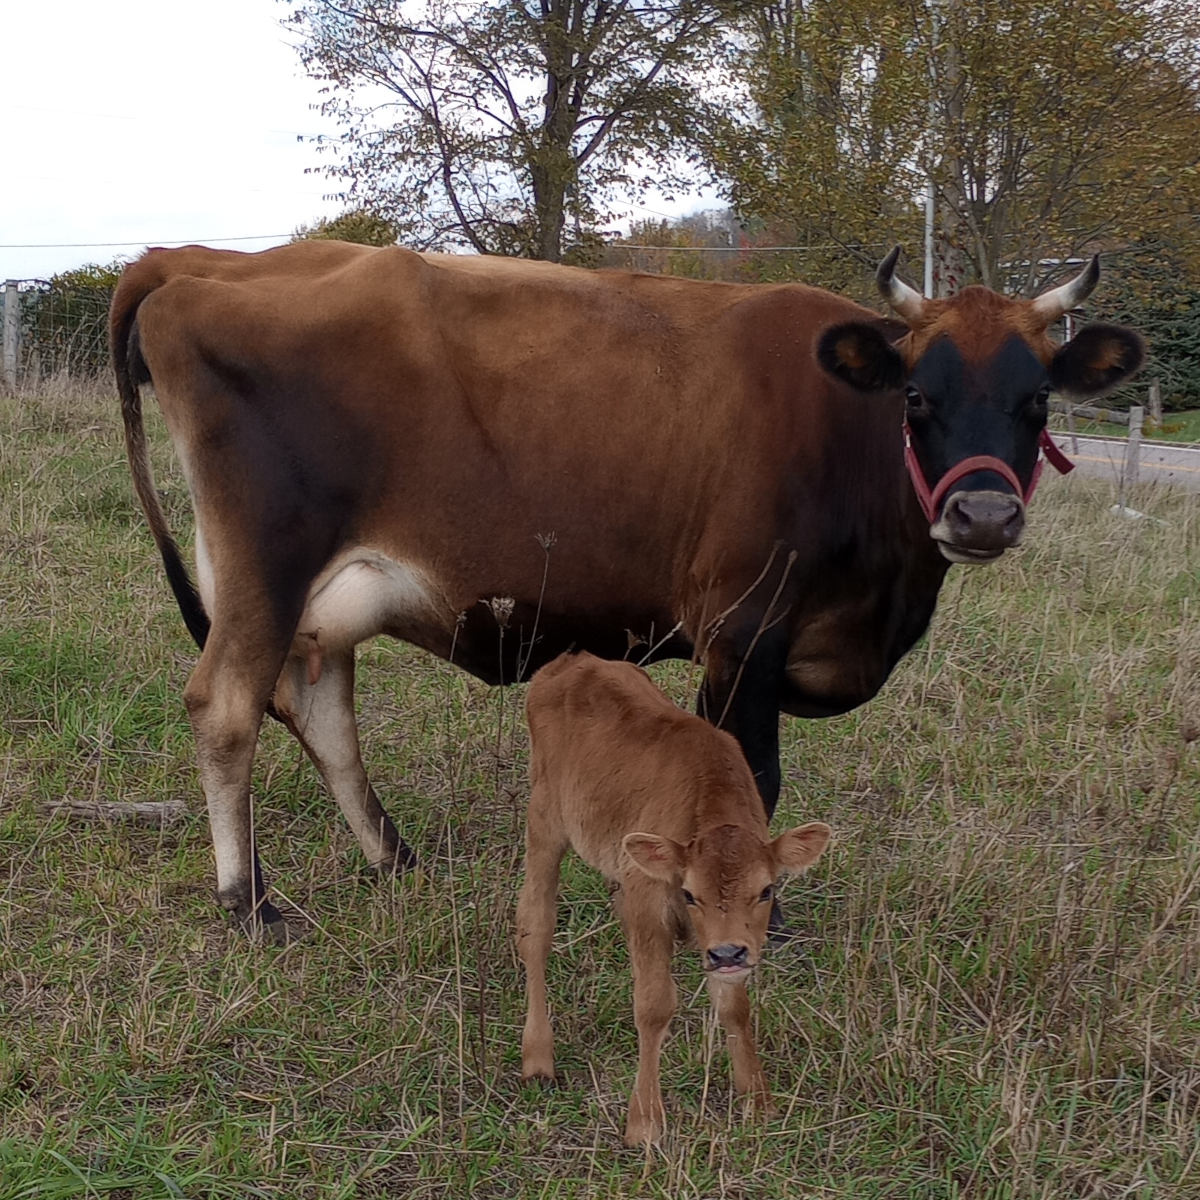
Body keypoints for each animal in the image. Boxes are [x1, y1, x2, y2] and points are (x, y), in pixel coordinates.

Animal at [109, 240, 1144, 938]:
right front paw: (753, 924)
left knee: (321, 713)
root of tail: (196, 260)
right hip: (268, 565)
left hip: (321, 601)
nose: (983, 515)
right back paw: (248, 901)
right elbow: (752, 778)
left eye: (1038, 402)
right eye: (918, 396)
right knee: (226, 707)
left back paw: (395, 860)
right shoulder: (744, 630)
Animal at [517, 651, 831, 1146]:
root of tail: (573, 660)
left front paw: (757, 1100)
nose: (728, 954)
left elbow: (735, 1006)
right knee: (535, 927)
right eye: (689, 893)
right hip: (545, 822)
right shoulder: (650, 906)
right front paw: (644, 1122)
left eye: (767, 889)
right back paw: (537, 1058)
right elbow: (654, 1004)